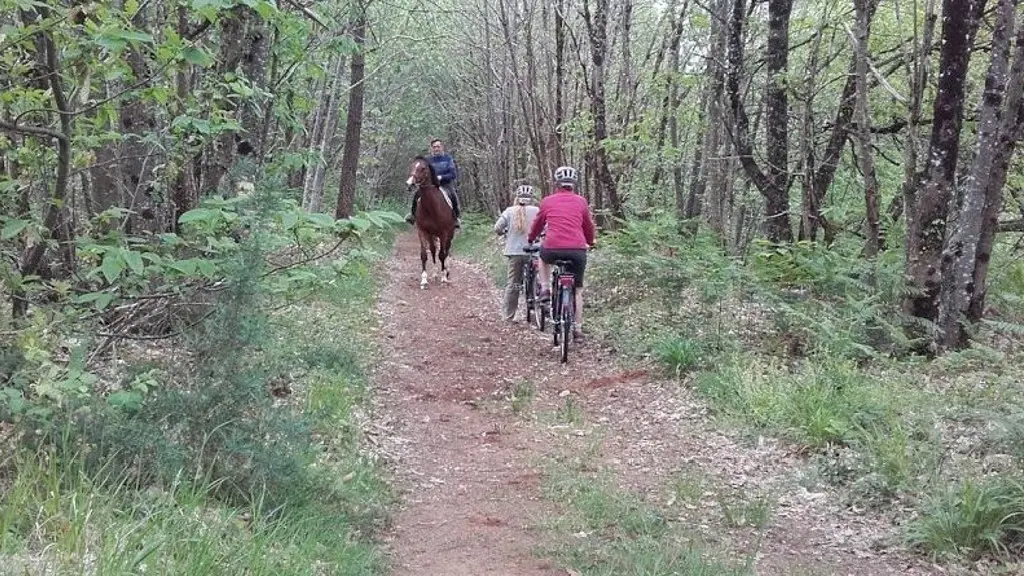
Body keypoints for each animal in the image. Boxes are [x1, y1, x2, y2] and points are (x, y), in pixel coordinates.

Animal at [407, 155, 456, 286]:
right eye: (412, 166)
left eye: (423, 168)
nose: (410, 184)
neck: (431, 207)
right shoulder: (422, 230)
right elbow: (424, 254)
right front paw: (424, 279)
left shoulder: (444, 232)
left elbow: (442, 254)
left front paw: (444, 277)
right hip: (432, 234)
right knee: (434, 250)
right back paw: (434, 274)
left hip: (449, 234)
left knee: (447, 250)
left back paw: (447, 272)